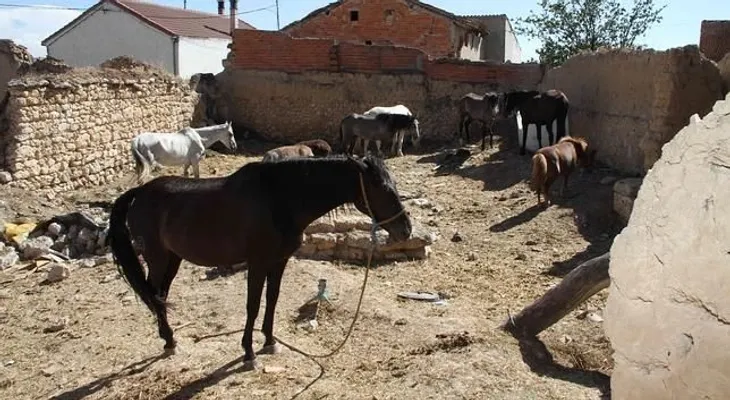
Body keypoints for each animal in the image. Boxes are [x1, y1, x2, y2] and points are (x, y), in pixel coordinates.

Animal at [106, 155, 412, 371]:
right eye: (382, 187)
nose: (406, 230)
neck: (279, 200)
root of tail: (139, 193)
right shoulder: (257, 262)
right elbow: (252, 305)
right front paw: (249, 353)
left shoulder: (279, 261)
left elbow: (272, 299)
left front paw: (269, 341)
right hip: (157, 257)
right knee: (154, 294)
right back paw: (169, 340)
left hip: (173, 258)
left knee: (159, 295)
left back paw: (169, 340)